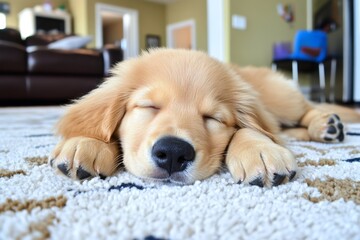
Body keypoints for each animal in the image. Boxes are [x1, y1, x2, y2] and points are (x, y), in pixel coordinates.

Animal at [49, 48, 356, 188]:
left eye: (212, 118)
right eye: (150, 107)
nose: (173, 153)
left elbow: (251, 130)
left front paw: (261, 150)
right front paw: (88, 142)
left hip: (281, 99)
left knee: (303, 109)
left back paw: (326, 122)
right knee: (288, 128)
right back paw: (324, 128)